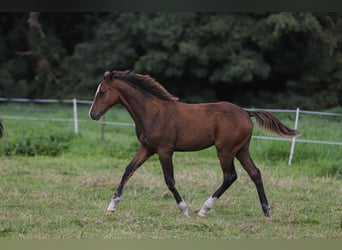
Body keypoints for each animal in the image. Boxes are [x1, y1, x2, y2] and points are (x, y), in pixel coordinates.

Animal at [89, 70, 298, 217]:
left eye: (103, 92)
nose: (93, 114)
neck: (153, 112)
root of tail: (246, 112)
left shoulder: (165, 150)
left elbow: (169, 180)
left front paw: (184, 210)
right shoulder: (147, 148)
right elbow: (128, 171)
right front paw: (111, 207)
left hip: (225, 151)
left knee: (230, 176)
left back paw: (203, 210)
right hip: (241, 150)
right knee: (255, 173)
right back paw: (266, 210)